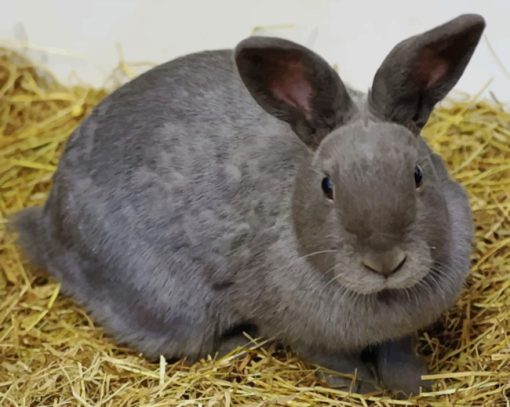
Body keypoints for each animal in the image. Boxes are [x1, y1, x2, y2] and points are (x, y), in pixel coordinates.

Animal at [9, 14, 484, 396]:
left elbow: (398, 353)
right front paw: (364, 390)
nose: (385, 262)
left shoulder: (399, 333)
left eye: (418, 174)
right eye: (327, 186)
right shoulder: (307, 336)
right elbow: (339, 364)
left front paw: (413, 387)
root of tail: (49, 226)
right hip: (174, 309)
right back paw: (242, 343)